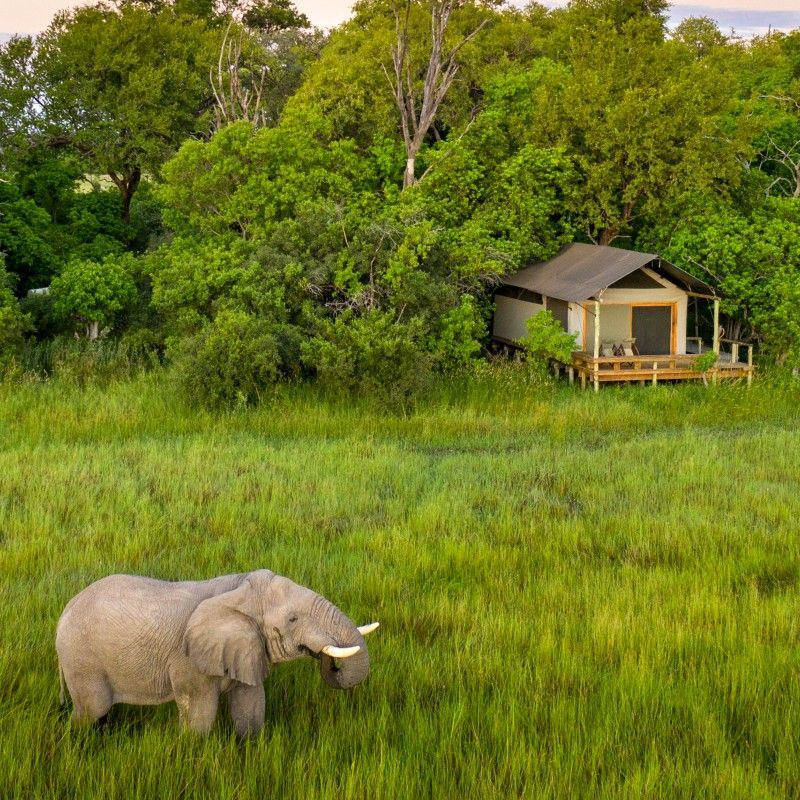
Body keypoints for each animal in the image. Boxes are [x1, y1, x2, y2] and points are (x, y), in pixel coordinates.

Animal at [55, 569, 378, 737]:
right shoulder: (188, 661)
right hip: (81, 659)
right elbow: (200, 716)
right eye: (293, 619)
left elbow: (251, 706)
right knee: (92, 710)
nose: (327, 661)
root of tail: (63, 614)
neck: (238, 587)